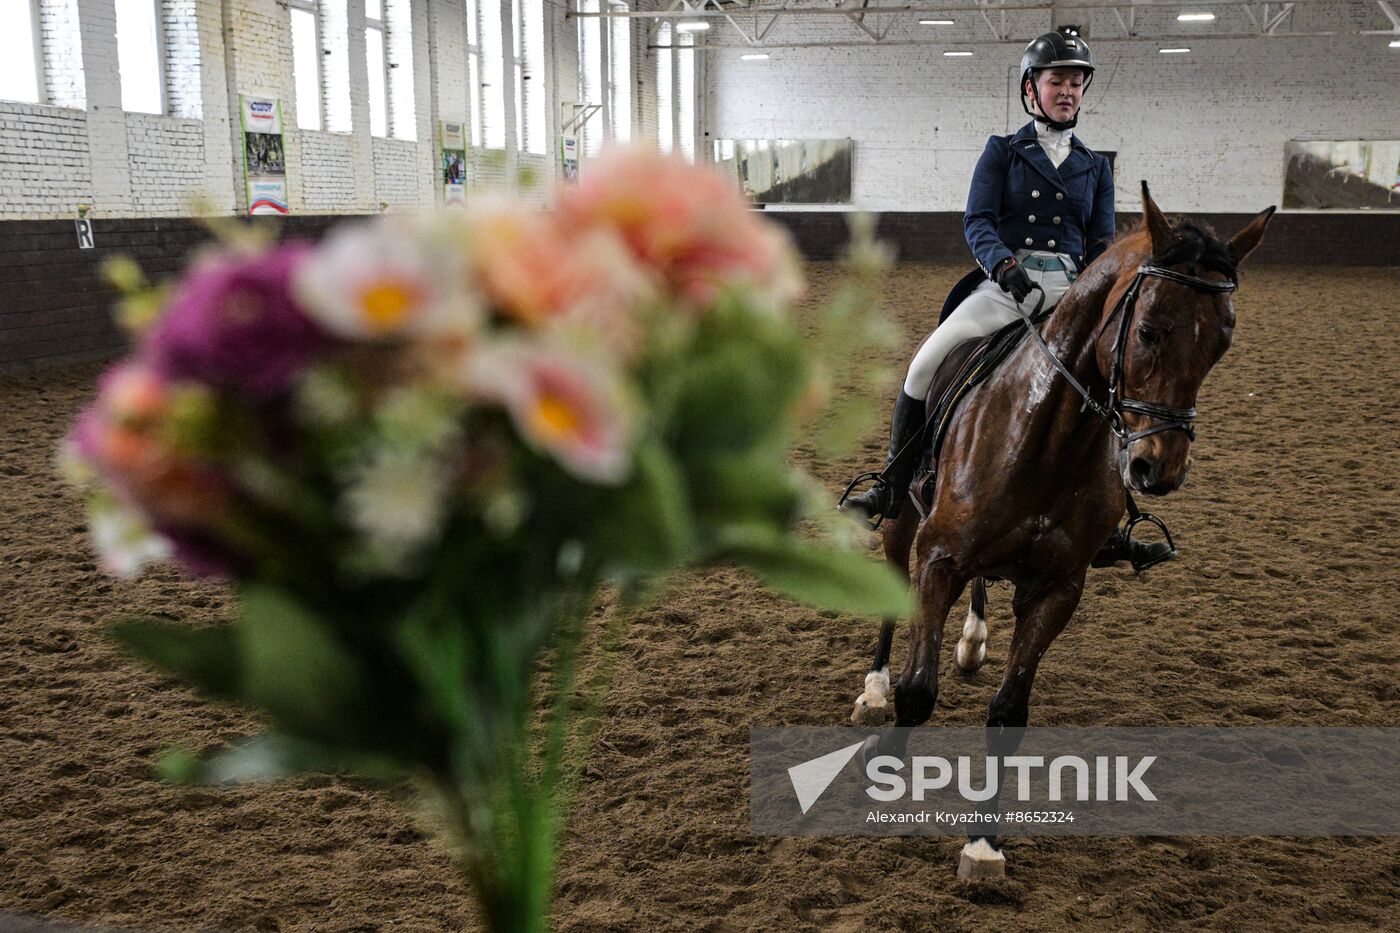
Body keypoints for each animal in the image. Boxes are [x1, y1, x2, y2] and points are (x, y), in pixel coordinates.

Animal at [851, 184, 1282, 874]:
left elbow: (1010, 711)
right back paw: (872, 687)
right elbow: (918, 692)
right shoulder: (939, 558)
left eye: (1223, 342)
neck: (1048, 438)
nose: (1159, 468)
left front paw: (982, 843)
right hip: (903, 518)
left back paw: (973, 640)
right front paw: (886, 765)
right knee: (892, 588)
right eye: (1149, 330)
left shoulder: (1057, 588)